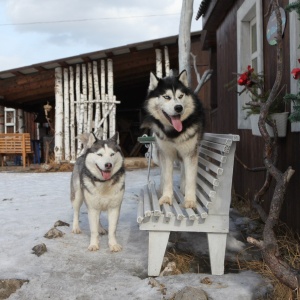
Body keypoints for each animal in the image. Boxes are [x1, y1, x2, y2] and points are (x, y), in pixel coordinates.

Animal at [142, 70, 205, 209]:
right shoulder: (166, 154)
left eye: (180, 96)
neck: (174, 133)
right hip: (157, 154)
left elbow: (190, 177)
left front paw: (190, 200)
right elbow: (167, 177)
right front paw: (166, 197)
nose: (178, 107)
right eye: (167, 97)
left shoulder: (190, 153)